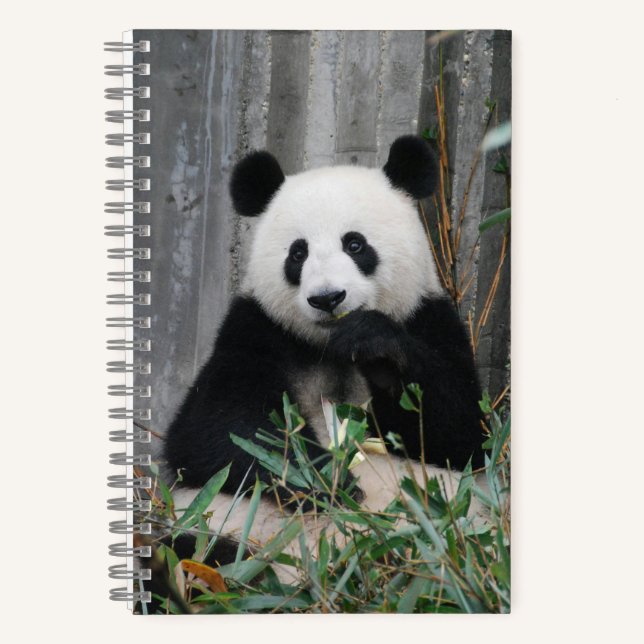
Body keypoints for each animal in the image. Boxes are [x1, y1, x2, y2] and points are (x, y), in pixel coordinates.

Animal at [164, 135, 485, 569]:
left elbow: (461, 434)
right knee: (190, 553)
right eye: (297, 253)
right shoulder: (255, 330)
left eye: (355, 244)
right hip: (212, 527)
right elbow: (215, 432)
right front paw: (324, 480)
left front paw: (374, 346)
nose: (328, 298)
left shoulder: (428, 317)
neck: (328, 346)